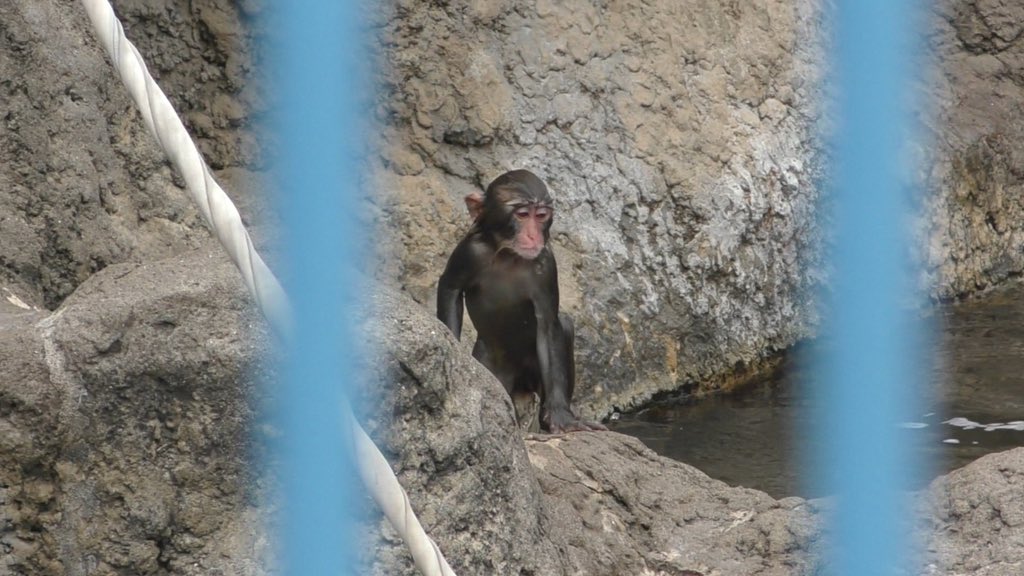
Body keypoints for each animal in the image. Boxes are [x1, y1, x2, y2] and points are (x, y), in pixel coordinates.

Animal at [437, 169, 606, 433]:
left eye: (541, 216)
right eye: (523, 214)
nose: (533, 234)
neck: (509, 254)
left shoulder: (546, 267)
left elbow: (548, 327)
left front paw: (561, 416)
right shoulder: (469, 251)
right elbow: (450, 289)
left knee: (564, 325)